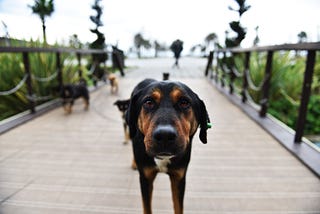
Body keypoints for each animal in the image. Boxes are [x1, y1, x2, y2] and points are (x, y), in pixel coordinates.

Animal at [126, 78, 211, 214]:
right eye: (148, 102)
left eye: (184, 102)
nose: (164, 135)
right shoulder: (145, 178)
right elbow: (147, 207)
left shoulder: (179, 177)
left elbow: (178, 207)